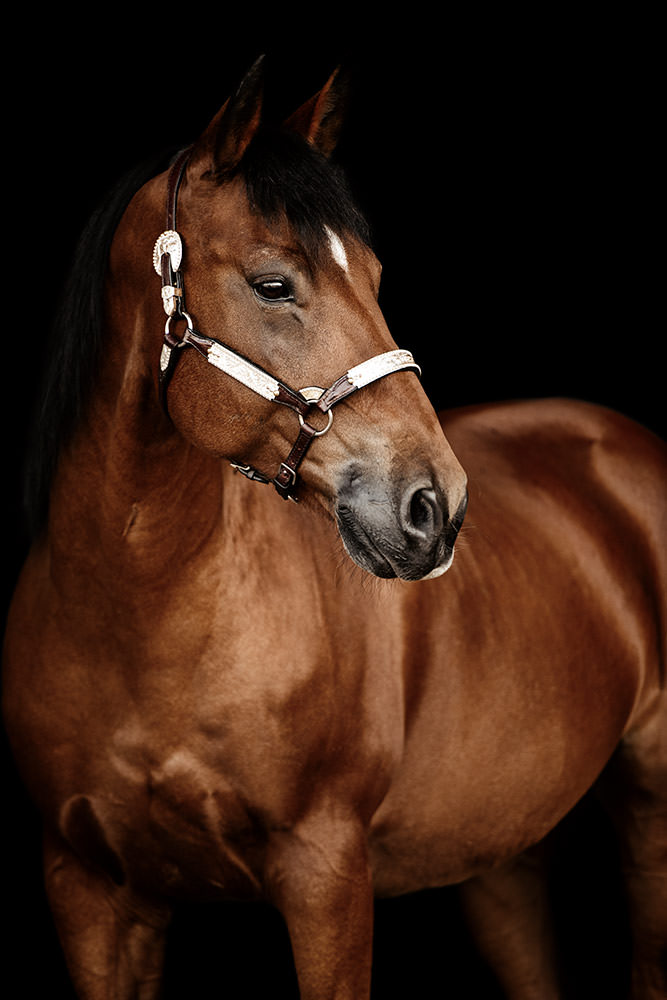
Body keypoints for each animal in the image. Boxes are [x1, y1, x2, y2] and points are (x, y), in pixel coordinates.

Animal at [3, 59, 666, 999]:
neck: (138, 619)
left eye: (377, 276)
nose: (435, 505)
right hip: (499, 852)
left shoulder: (326, 878)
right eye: (273, 284)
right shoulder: (86, 888)